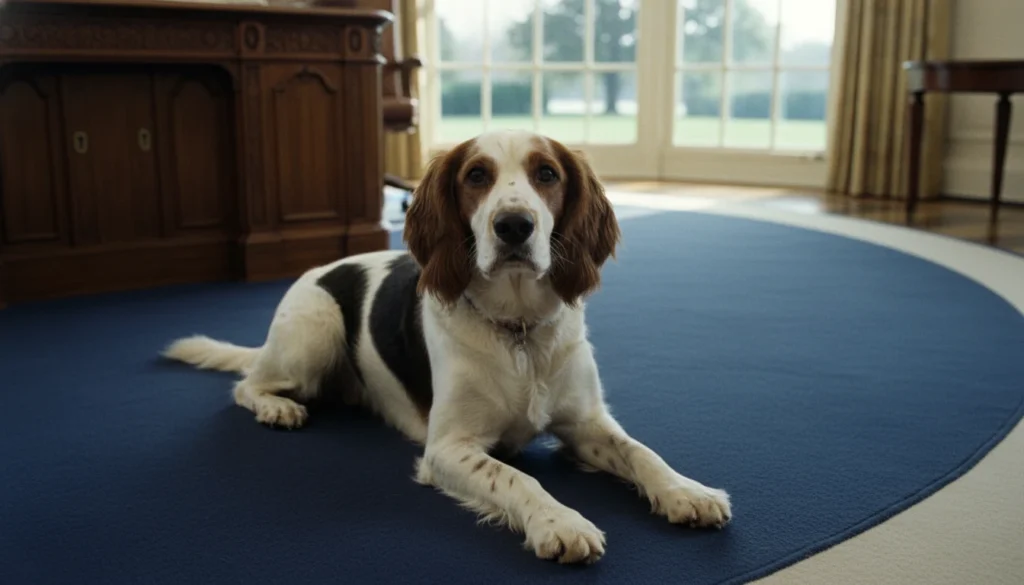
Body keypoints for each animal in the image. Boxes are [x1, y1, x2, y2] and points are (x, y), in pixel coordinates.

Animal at [163, 130, 732, 564]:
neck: (518, 329)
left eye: (547, 174)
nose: (514, 225)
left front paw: (687, 491)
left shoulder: (586, 423)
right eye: (476, 176)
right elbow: (517, 480)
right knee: (247, 385)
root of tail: (317, 271)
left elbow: (641, 452)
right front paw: (560, 522)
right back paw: (277, 407)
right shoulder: (448, 448)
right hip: (313, 331)